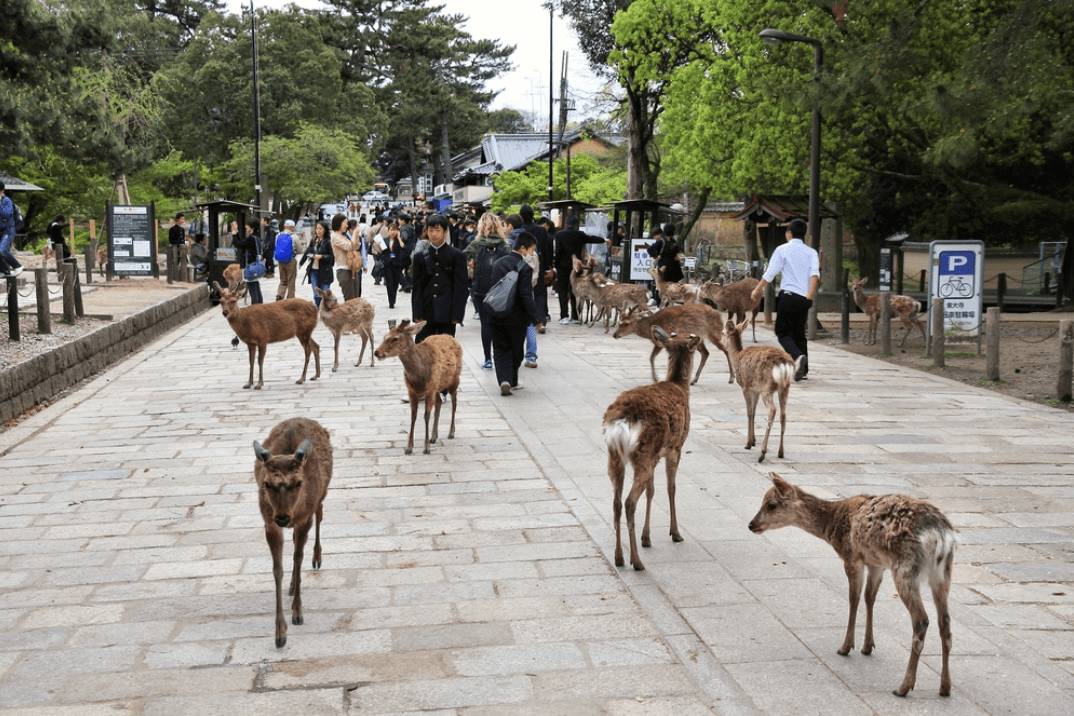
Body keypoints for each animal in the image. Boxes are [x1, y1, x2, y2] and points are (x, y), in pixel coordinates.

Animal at [253, 414, 332, 648]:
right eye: (266, 483)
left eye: (298, 482)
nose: (282, 517)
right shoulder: (269, 523)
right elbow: (277, 569)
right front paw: (279, 633)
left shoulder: (304, 518)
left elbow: (298, 558)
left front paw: (297, 613)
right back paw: (291, 585)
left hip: (321, 495)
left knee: (320, 514)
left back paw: (317, 558)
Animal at [373, 322, 461, 457]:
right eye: (384, 337)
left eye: (395, 338)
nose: (377, 352)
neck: (419, 377)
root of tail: (450, 336)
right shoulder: (413, 391)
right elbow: (413, 416)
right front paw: (409, 448)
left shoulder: (429, 390)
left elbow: (426, 416)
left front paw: (426, 448)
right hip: (437, 387)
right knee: (439, 402)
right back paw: (434, 437)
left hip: (454, 378)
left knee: (454, 402)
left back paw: (451, 432)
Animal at [601, 326, 700, 571]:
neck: (678, 386)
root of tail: (622, 421)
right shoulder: (675, 448)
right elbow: (671, 488)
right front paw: (675, 533)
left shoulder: (656, 455)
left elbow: (652, 490)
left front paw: (647, 538)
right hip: (643, 453)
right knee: (629, 502)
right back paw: (636, 561)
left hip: (615, 455)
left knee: (616, 502)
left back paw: (619, 558)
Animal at [726, 319, 794, 465]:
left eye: (723, 332)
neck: (736, 357)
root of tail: (784, 364)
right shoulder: (755, 389)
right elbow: (754, 411)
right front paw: (753, 441)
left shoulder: (746, 386)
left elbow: (749, 413)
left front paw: (748, 443)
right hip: (784, 387)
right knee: (783, 415)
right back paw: (781, 452)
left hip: (767, 387)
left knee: (772, 410)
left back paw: (762, 454)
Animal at [747, 472, 958, 695]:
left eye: (771, 505)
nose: (751, 525)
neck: (832, 524)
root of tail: (940, 536)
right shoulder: (875, 562)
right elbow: (869, 597)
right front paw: (867, 646)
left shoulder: (851, 556)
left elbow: (853, 598)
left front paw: (846, 647)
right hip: (942, 573)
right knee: (945, 621)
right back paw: (945, 686)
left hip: (906, 569)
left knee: (921, 620)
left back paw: (903, 687)